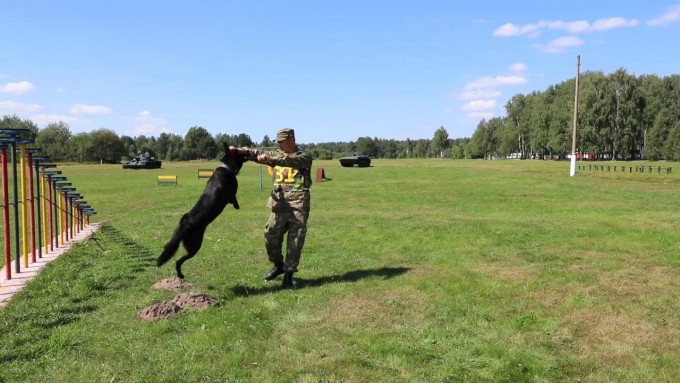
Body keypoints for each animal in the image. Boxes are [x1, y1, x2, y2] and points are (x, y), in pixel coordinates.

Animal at [157, 144, 247, 280]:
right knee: (178, 261)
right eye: (238, 151)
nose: (246, 150)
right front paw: (237, 206)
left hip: (178, 237)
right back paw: (180, 275)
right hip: (195, 246)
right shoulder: (232, 193)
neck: (227, 167)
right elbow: (234, 198)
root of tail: (185, 226)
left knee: (169, 247)